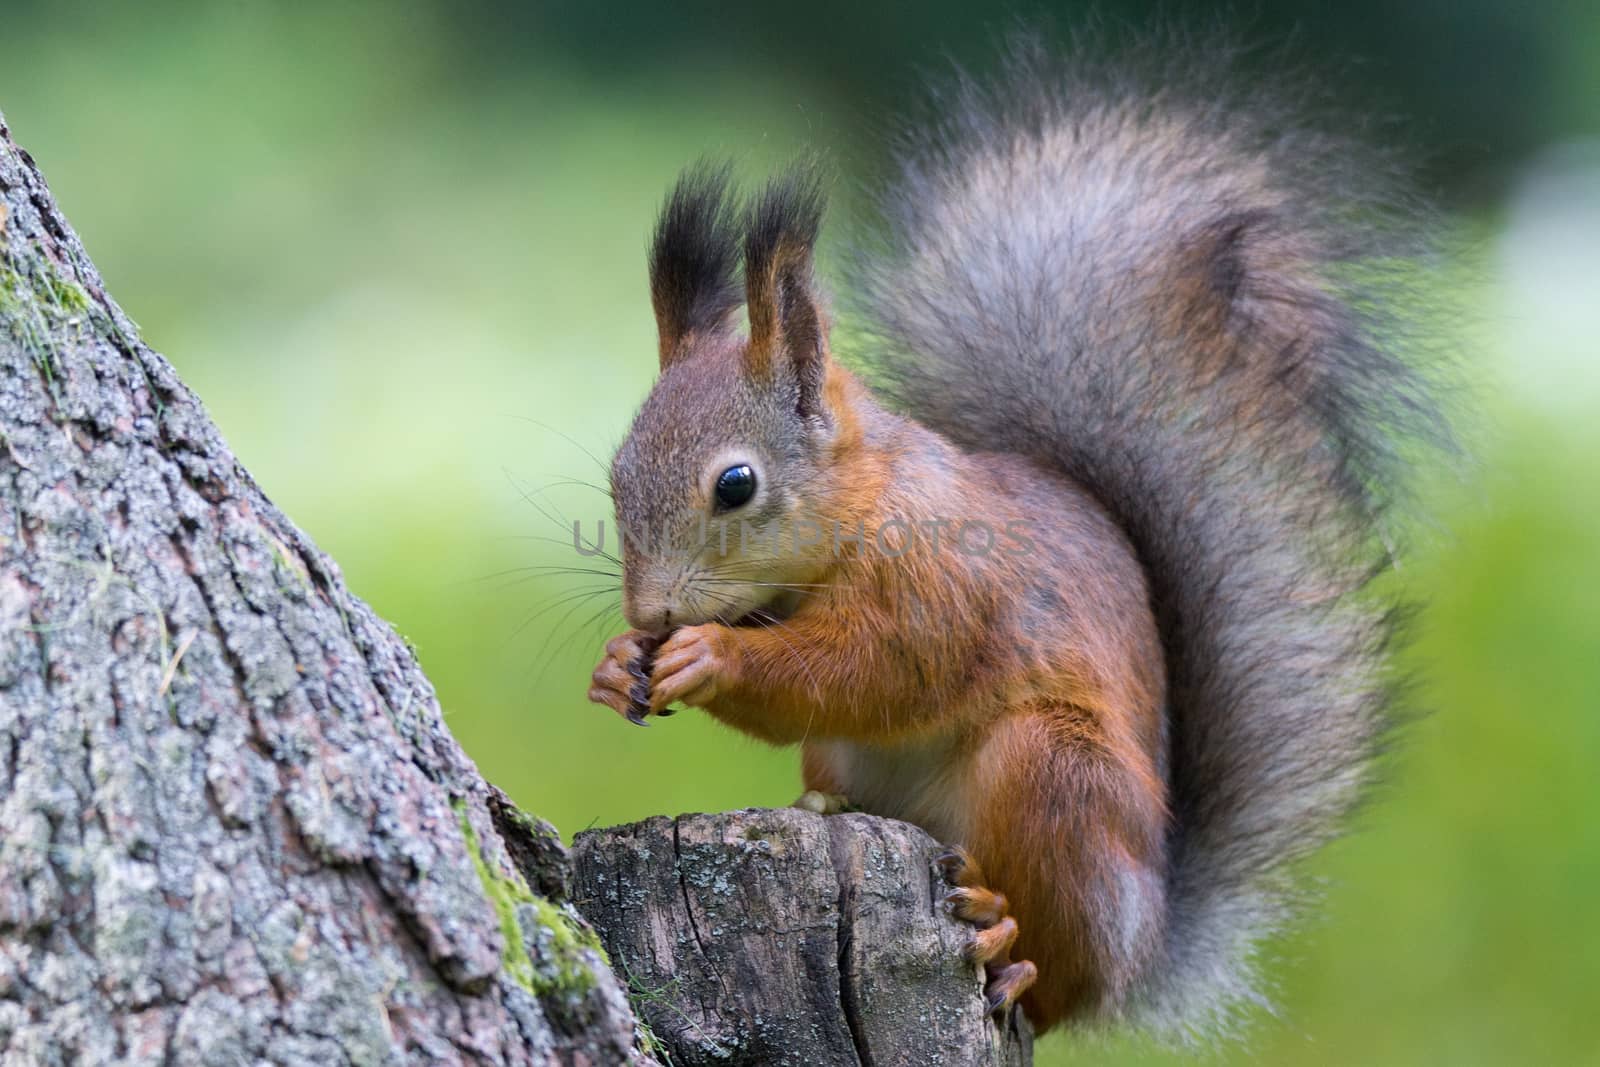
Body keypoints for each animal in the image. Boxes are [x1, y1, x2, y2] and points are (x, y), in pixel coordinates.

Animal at [585, 39, 1452, 1036]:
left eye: (736, 485)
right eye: (616, 471)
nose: (651, 611)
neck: (868, 510)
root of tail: (1148, 938)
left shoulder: (947, 586)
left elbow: (868, 671)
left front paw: (712, 656)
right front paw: (620, 663)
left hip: (1054, 775)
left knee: (1055, 975)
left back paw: (1011, 940)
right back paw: (824, 803)